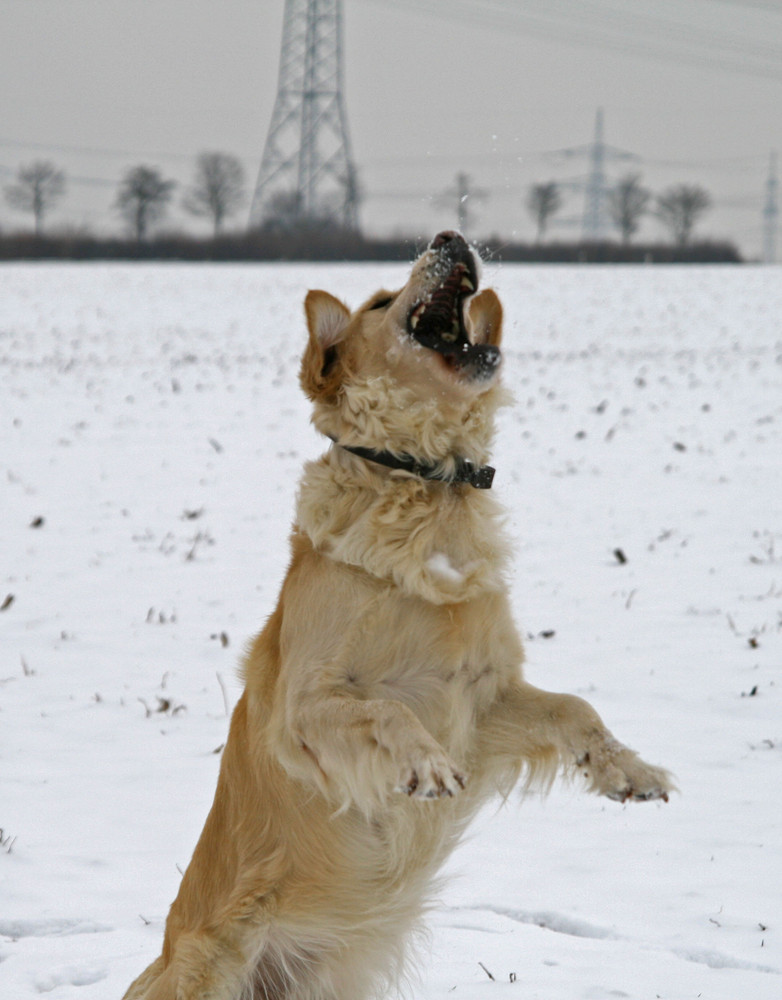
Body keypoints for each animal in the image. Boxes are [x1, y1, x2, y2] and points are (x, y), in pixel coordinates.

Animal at [124, 232, 672, 1000]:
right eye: (382, 303)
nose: (449, 237)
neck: (427, 484)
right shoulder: (302, 709)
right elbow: (385, 711)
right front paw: (423, 765)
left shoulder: (483, 699)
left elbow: (576, 707)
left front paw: (630, 771)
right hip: (214, 962)